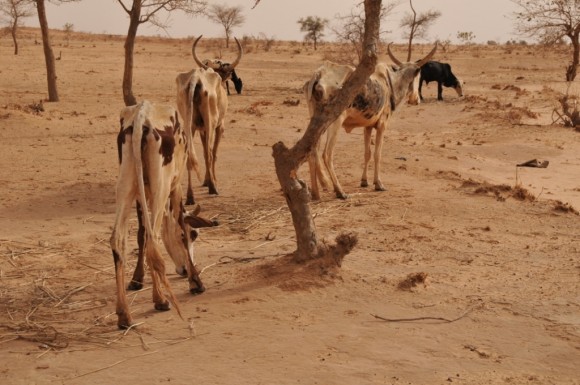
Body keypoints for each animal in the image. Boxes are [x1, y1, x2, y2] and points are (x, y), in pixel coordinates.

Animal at [110, 99, 218, 328]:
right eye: (195, 234)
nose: (184, 270)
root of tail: (141, 116)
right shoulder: (175, 187)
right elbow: (178, 226)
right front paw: (195, 281)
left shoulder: (142, 195)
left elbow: (141, 233)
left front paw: (137, 279)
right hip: (162, 185)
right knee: (153, 240)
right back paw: (160, 300)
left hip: (126, 185)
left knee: (118, 239)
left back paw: (124, 314)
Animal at [176, 38, 228, 206]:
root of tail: (195, 79)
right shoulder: (218, 126)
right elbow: (212, 152)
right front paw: (211, 181)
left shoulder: (200, 128)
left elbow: (204, 152)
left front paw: (206, 180)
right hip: (210, 123)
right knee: (210, 153)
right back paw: (213, 188)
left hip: (189, 125)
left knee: (190, 157)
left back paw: (190, 197)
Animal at [306, 44, 438, 200]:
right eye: (419, 76)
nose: (416, 100)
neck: (391, 83)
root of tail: (319, 74)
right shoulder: (382, 125)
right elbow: (377, 154)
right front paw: (378, 184)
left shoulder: (367, 127)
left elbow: (367, 153)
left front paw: (364, 181)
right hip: (334, 122)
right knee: (326, 154)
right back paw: (340, 191)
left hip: (316, 122)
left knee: (312, 153)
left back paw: (316, 193)